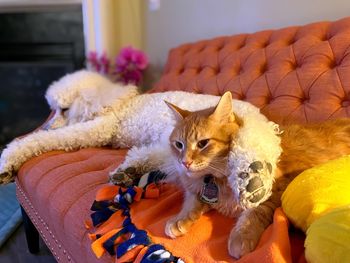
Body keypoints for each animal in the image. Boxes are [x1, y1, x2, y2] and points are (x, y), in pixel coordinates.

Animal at [0, 70, 282, 260]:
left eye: (64, 109)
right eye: (53, 109)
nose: (47, 124)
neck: (116, 101)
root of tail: (264, 122)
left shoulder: (98, 128)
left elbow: (48, 139)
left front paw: (8, 160)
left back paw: (252, 178)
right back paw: (128, 172)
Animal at [163, 92, 350, 258]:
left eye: (203, 143)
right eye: (178, 145)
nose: (184, 162)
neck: (217, 179)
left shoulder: (273, 191)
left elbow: (253, 213)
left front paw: (242, 235)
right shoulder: (199, 191)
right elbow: (191, 202)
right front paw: (180, 219)